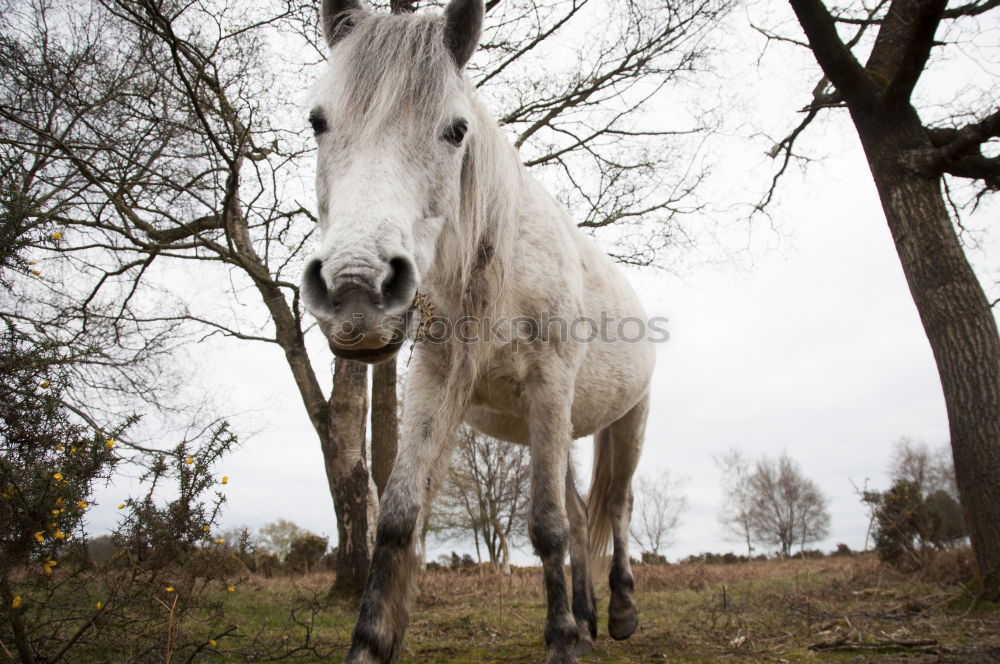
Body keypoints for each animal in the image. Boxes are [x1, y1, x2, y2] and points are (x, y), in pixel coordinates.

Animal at [300, 0, 660, 660]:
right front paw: (371, 642)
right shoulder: (437, 380)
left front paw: (561, 642)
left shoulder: (549, 385)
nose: (357, 287)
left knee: (617, 506)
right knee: (580, 515)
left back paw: (619, 613)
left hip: (626, 420)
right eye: (318, 121)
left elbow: (545, 524)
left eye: (455, 130)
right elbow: (398, 514)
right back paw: (588, 615)